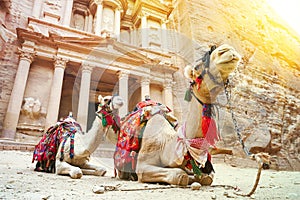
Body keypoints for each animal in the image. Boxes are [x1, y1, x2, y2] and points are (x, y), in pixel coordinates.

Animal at [115, 43, 241, 186]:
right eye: (197, 67)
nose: (226, 50)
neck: (166, 145)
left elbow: (207, 177)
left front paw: (197, 177)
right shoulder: (142, 166)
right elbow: (179, 175)